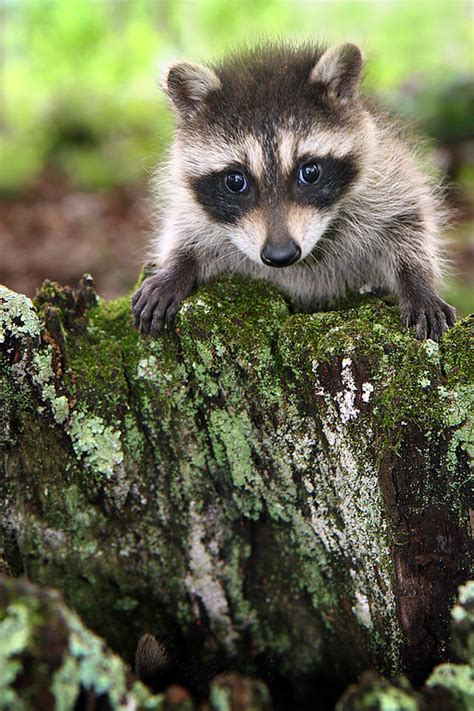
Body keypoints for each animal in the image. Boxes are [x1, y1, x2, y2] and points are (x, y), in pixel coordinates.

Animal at [132, 42, 456, 342]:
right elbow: (185, 227)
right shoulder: (190, 202)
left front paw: (416, 281)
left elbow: (408, 221)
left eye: (310, 172)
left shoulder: (386, 171)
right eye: (235, 181)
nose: (281, 254)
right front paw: (176, 266)